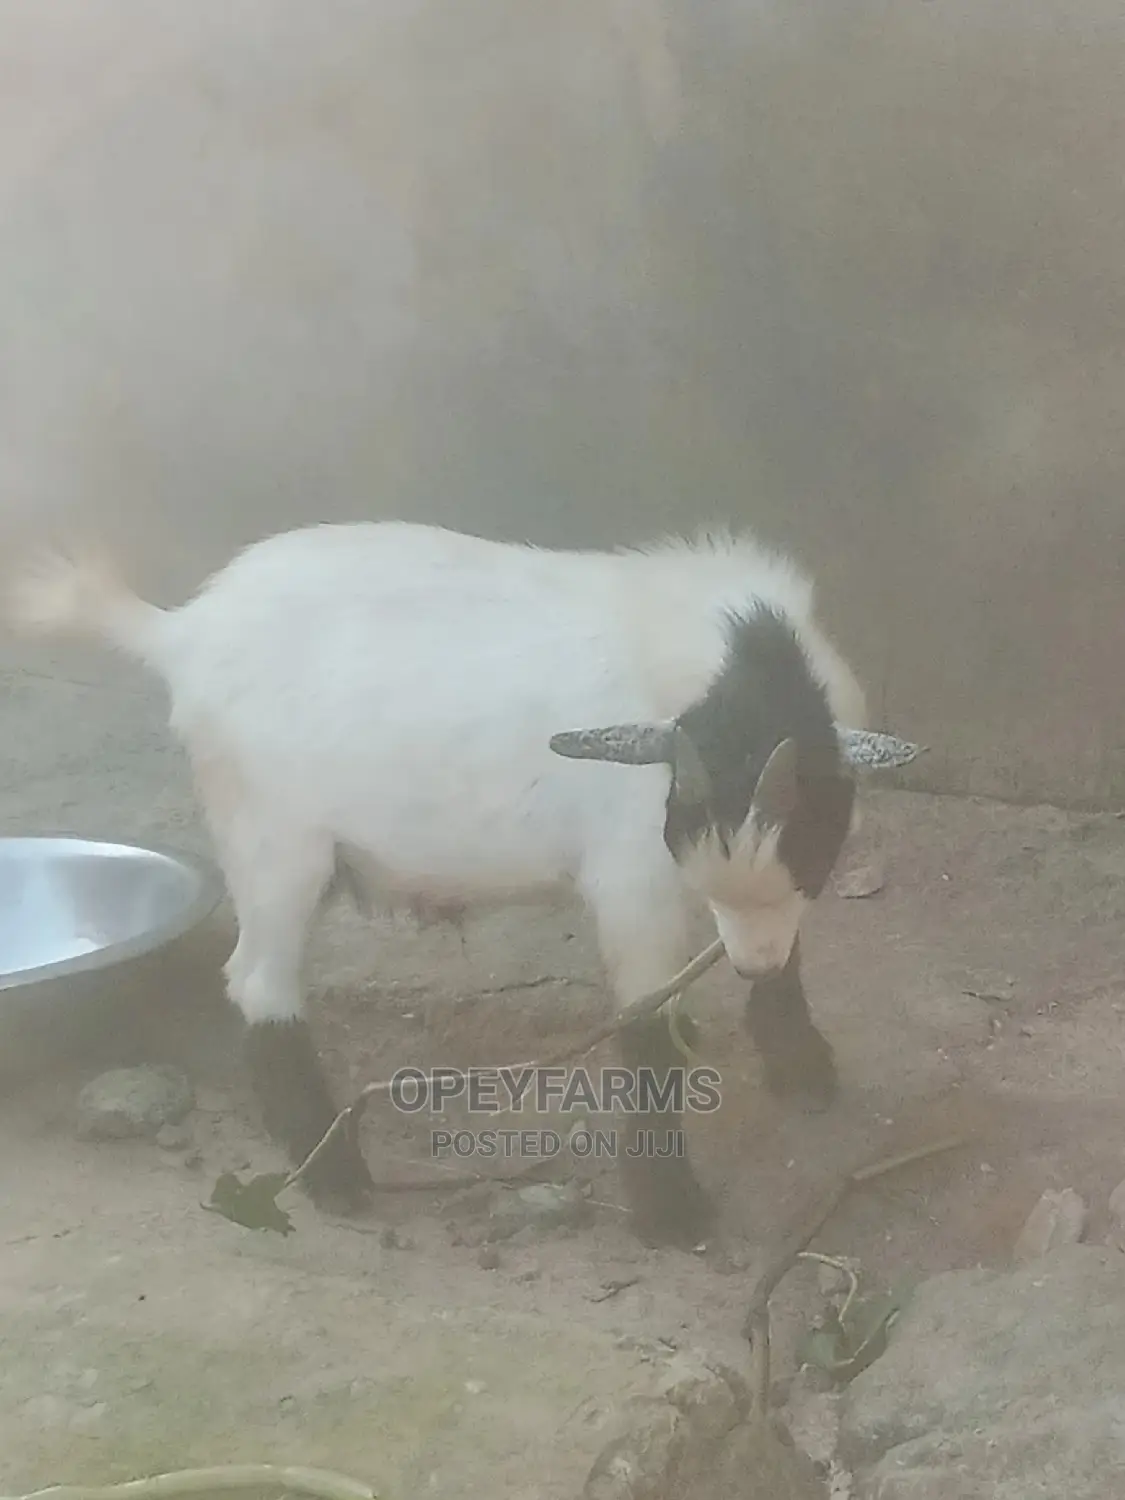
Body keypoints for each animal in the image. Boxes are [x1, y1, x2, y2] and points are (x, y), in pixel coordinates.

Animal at [5, 520, 917, 1247]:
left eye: (815, 844)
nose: (752, 964)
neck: (734, 661)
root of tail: (180, 632)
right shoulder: (632, 871)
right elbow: (643, 1024)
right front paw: (671, 1214)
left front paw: (803, 1069)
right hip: (271, 837)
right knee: (257, 980)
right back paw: (334, 1174)